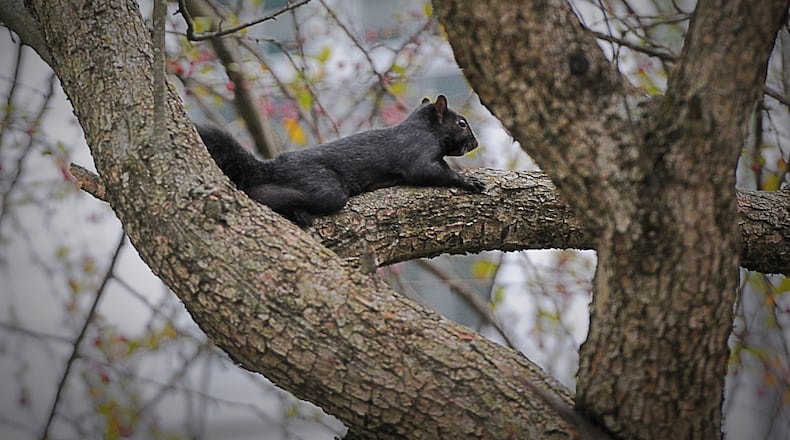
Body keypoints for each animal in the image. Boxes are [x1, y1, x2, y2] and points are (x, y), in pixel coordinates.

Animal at [196, 95, 484, 227]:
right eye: (461, 123)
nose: (476, 143)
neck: (424, 127)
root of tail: (272, 167)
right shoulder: (417, 151)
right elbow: (429, 171)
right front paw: (468, 181)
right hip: (325, 188)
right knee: (261, 193)